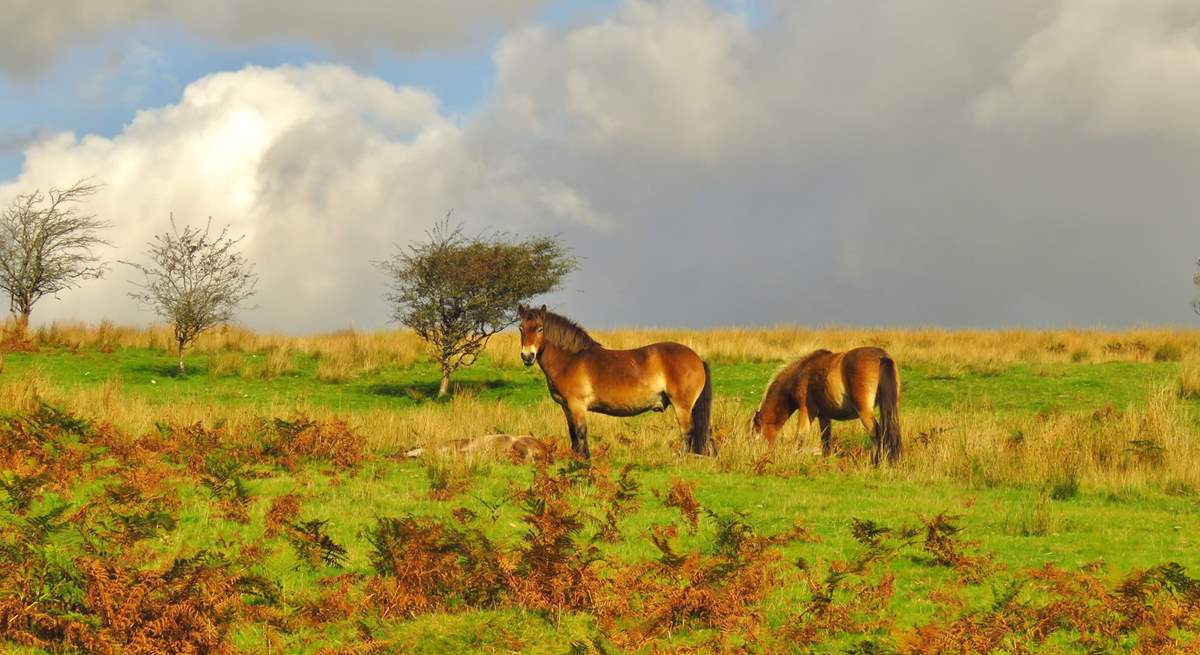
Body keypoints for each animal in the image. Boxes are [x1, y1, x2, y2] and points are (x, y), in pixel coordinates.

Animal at [516, 303, 710, 455]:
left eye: (540, 328)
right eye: (521, 328)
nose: (527, 356)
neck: (570, 359)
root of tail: (697, 358)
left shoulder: (577, 405)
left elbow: (581, 433)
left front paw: (584, 460)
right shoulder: (566, 407)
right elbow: (573, 434)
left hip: (682, 406)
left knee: (687, 431)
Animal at [748, 345, 902, 463]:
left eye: (755, 434)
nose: (754, 455)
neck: (801, 373)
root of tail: (882, 357)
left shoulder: (806, 411)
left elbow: (800, 436)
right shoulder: (824, 416)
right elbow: (826, 440)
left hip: (864, 412)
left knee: (876, 433)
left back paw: (876, 462)